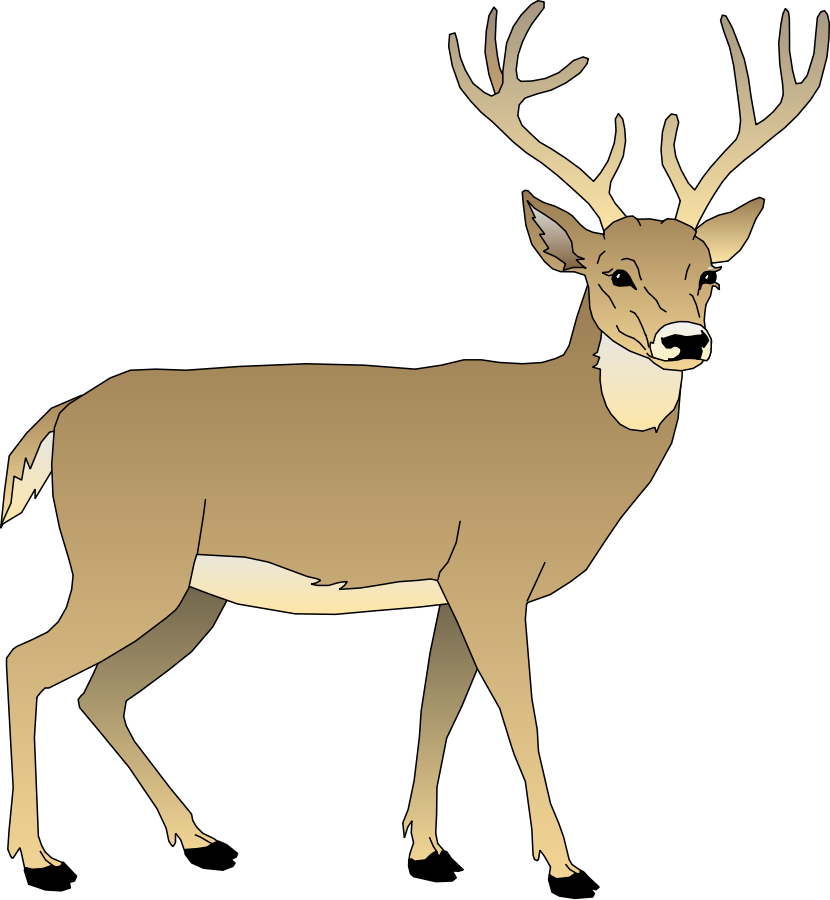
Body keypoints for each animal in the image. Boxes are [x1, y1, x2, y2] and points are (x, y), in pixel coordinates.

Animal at [5, 2, 826, 878]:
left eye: (709, 275)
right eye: (615, 272)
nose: (686, 340)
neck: (562, 444)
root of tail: (62, 416)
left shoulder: (452, 586)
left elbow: (439, 703)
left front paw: (423, 841)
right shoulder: (491, 571)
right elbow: (519, 712)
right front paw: (558, 855)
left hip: (191, 591)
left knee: (101, 691)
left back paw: (189, 829)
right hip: (127, 563)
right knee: (31, 662)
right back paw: (32, 849)